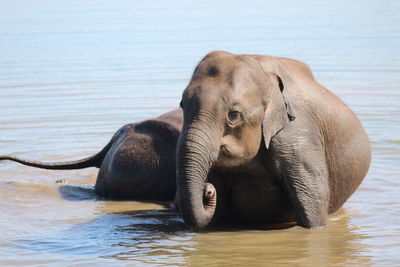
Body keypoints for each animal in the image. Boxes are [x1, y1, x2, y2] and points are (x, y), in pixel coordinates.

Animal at [178, 51, 372, 230]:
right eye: (182, 106)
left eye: (233, 114)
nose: (208, 190)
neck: (266, 76)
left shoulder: (298, 133)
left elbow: (313, 203)